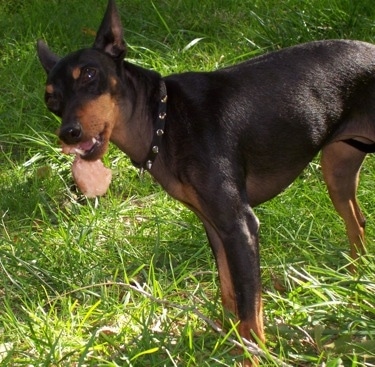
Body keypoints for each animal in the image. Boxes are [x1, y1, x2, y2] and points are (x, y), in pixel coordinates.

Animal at [36, 0, 374, 364]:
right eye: (51, 100)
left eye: (89, 74)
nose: (68, 133)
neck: (164, 121)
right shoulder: (215, 225)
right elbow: (231, 295)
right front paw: (228, 344)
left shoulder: (240, 226)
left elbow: (250, 308)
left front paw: (253, 356)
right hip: (337, 170)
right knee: (357, 221)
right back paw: (354, 282)